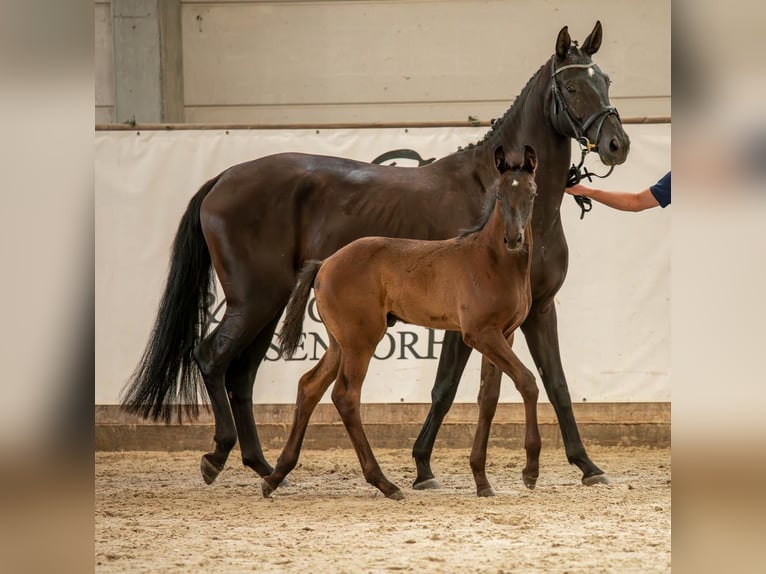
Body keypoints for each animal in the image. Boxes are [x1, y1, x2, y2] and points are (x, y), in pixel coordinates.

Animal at [123, 22, 632, 490]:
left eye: (606, 80)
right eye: (571, 86)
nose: (617, 145)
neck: (496, 195)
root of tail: (223, 178)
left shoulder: (539, 309)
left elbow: (557, 383)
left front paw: (587, 466)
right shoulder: (468, 323)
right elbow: (446, 388)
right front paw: (424, 467)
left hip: (268, 304)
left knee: (242, 375)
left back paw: (265, 467)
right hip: (254, 301)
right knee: (212, 358)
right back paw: (219, 457)